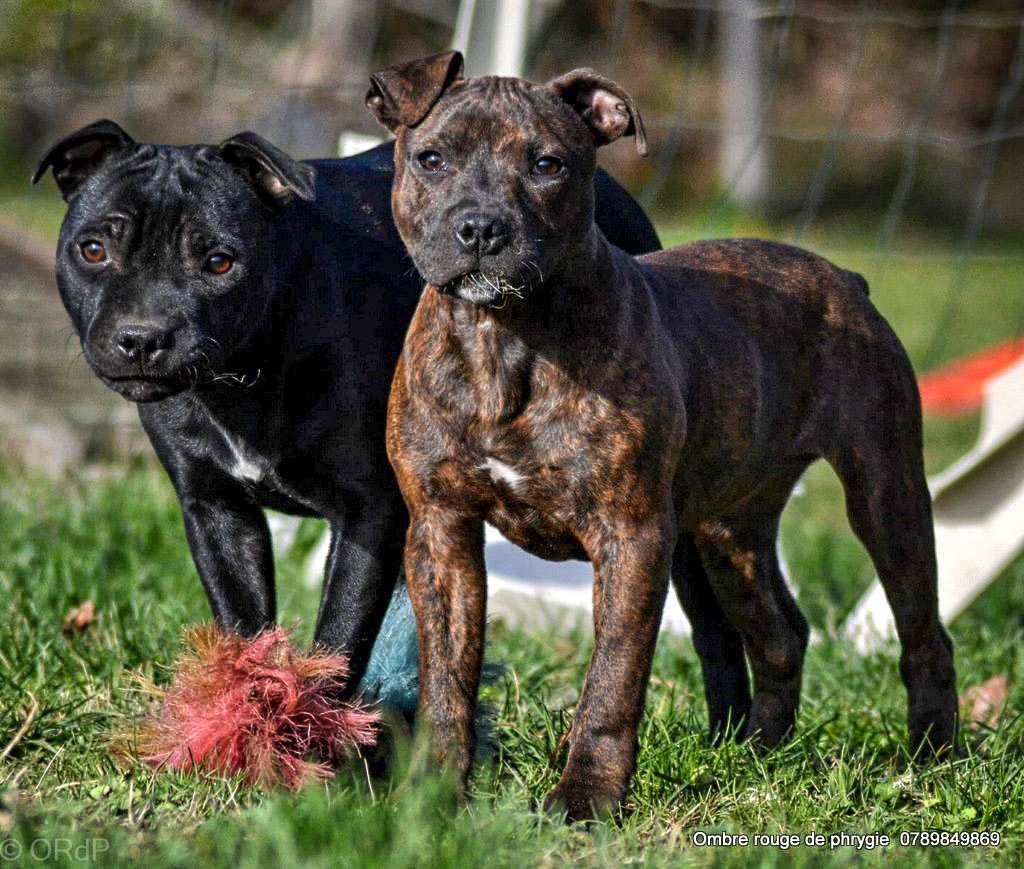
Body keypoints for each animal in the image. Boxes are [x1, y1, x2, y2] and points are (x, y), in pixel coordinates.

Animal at [34, 120, 671, 691]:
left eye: (219, 262)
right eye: (93, 250)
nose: (142, 336)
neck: (244, 373)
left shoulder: (368, 515)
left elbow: (339, 640)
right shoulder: (217, 510)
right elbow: (245, 627)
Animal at [370, 52, 958, 818]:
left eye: (548, 165)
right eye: (432, 159)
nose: (481, 228)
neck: (505, 339)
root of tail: (845, 279)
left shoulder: (632, 535)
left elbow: (613, 677)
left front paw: (585, 798)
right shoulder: (441, 531)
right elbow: (447, 678)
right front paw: (432, 793)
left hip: (886, 495)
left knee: (924, 635)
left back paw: (933, 760)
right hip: (728, 531)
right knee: (780, 634)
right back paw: (756, 754)